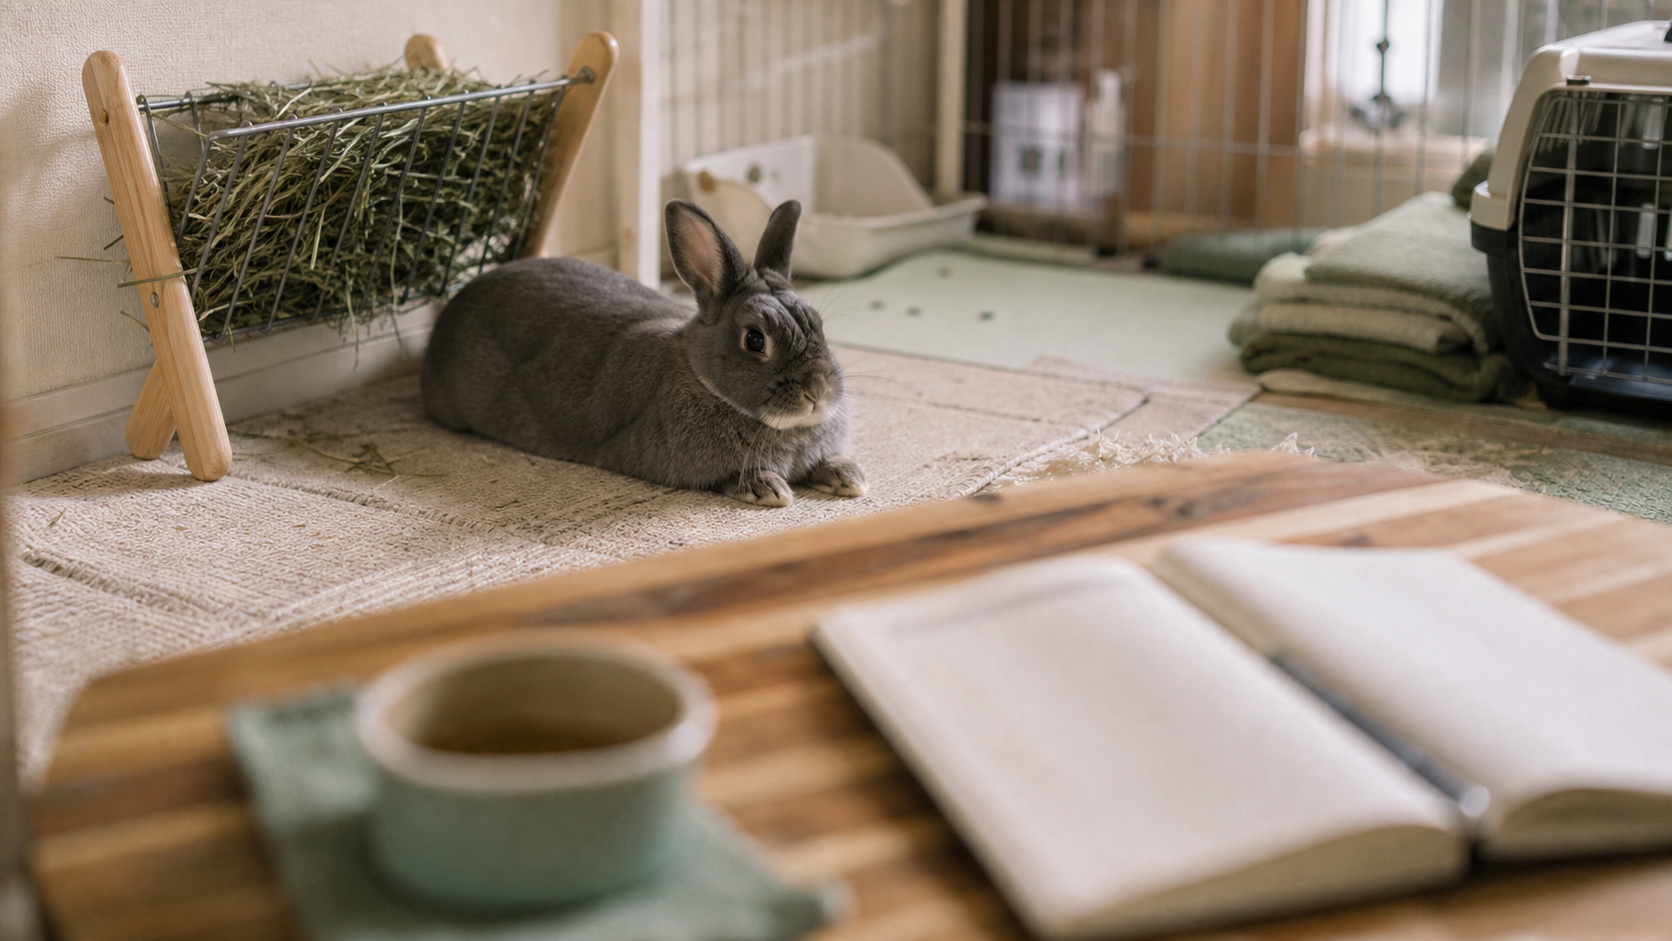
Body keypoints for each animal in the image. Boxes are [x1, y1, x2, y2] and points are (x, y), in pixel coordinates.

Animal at [420, 198, 866, 507]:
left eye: (818, 324)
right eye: (755, 340)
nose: (817, 392)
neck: (703, 378)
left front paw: (848, 475)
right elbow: (729, 477)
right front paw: (768, 487)